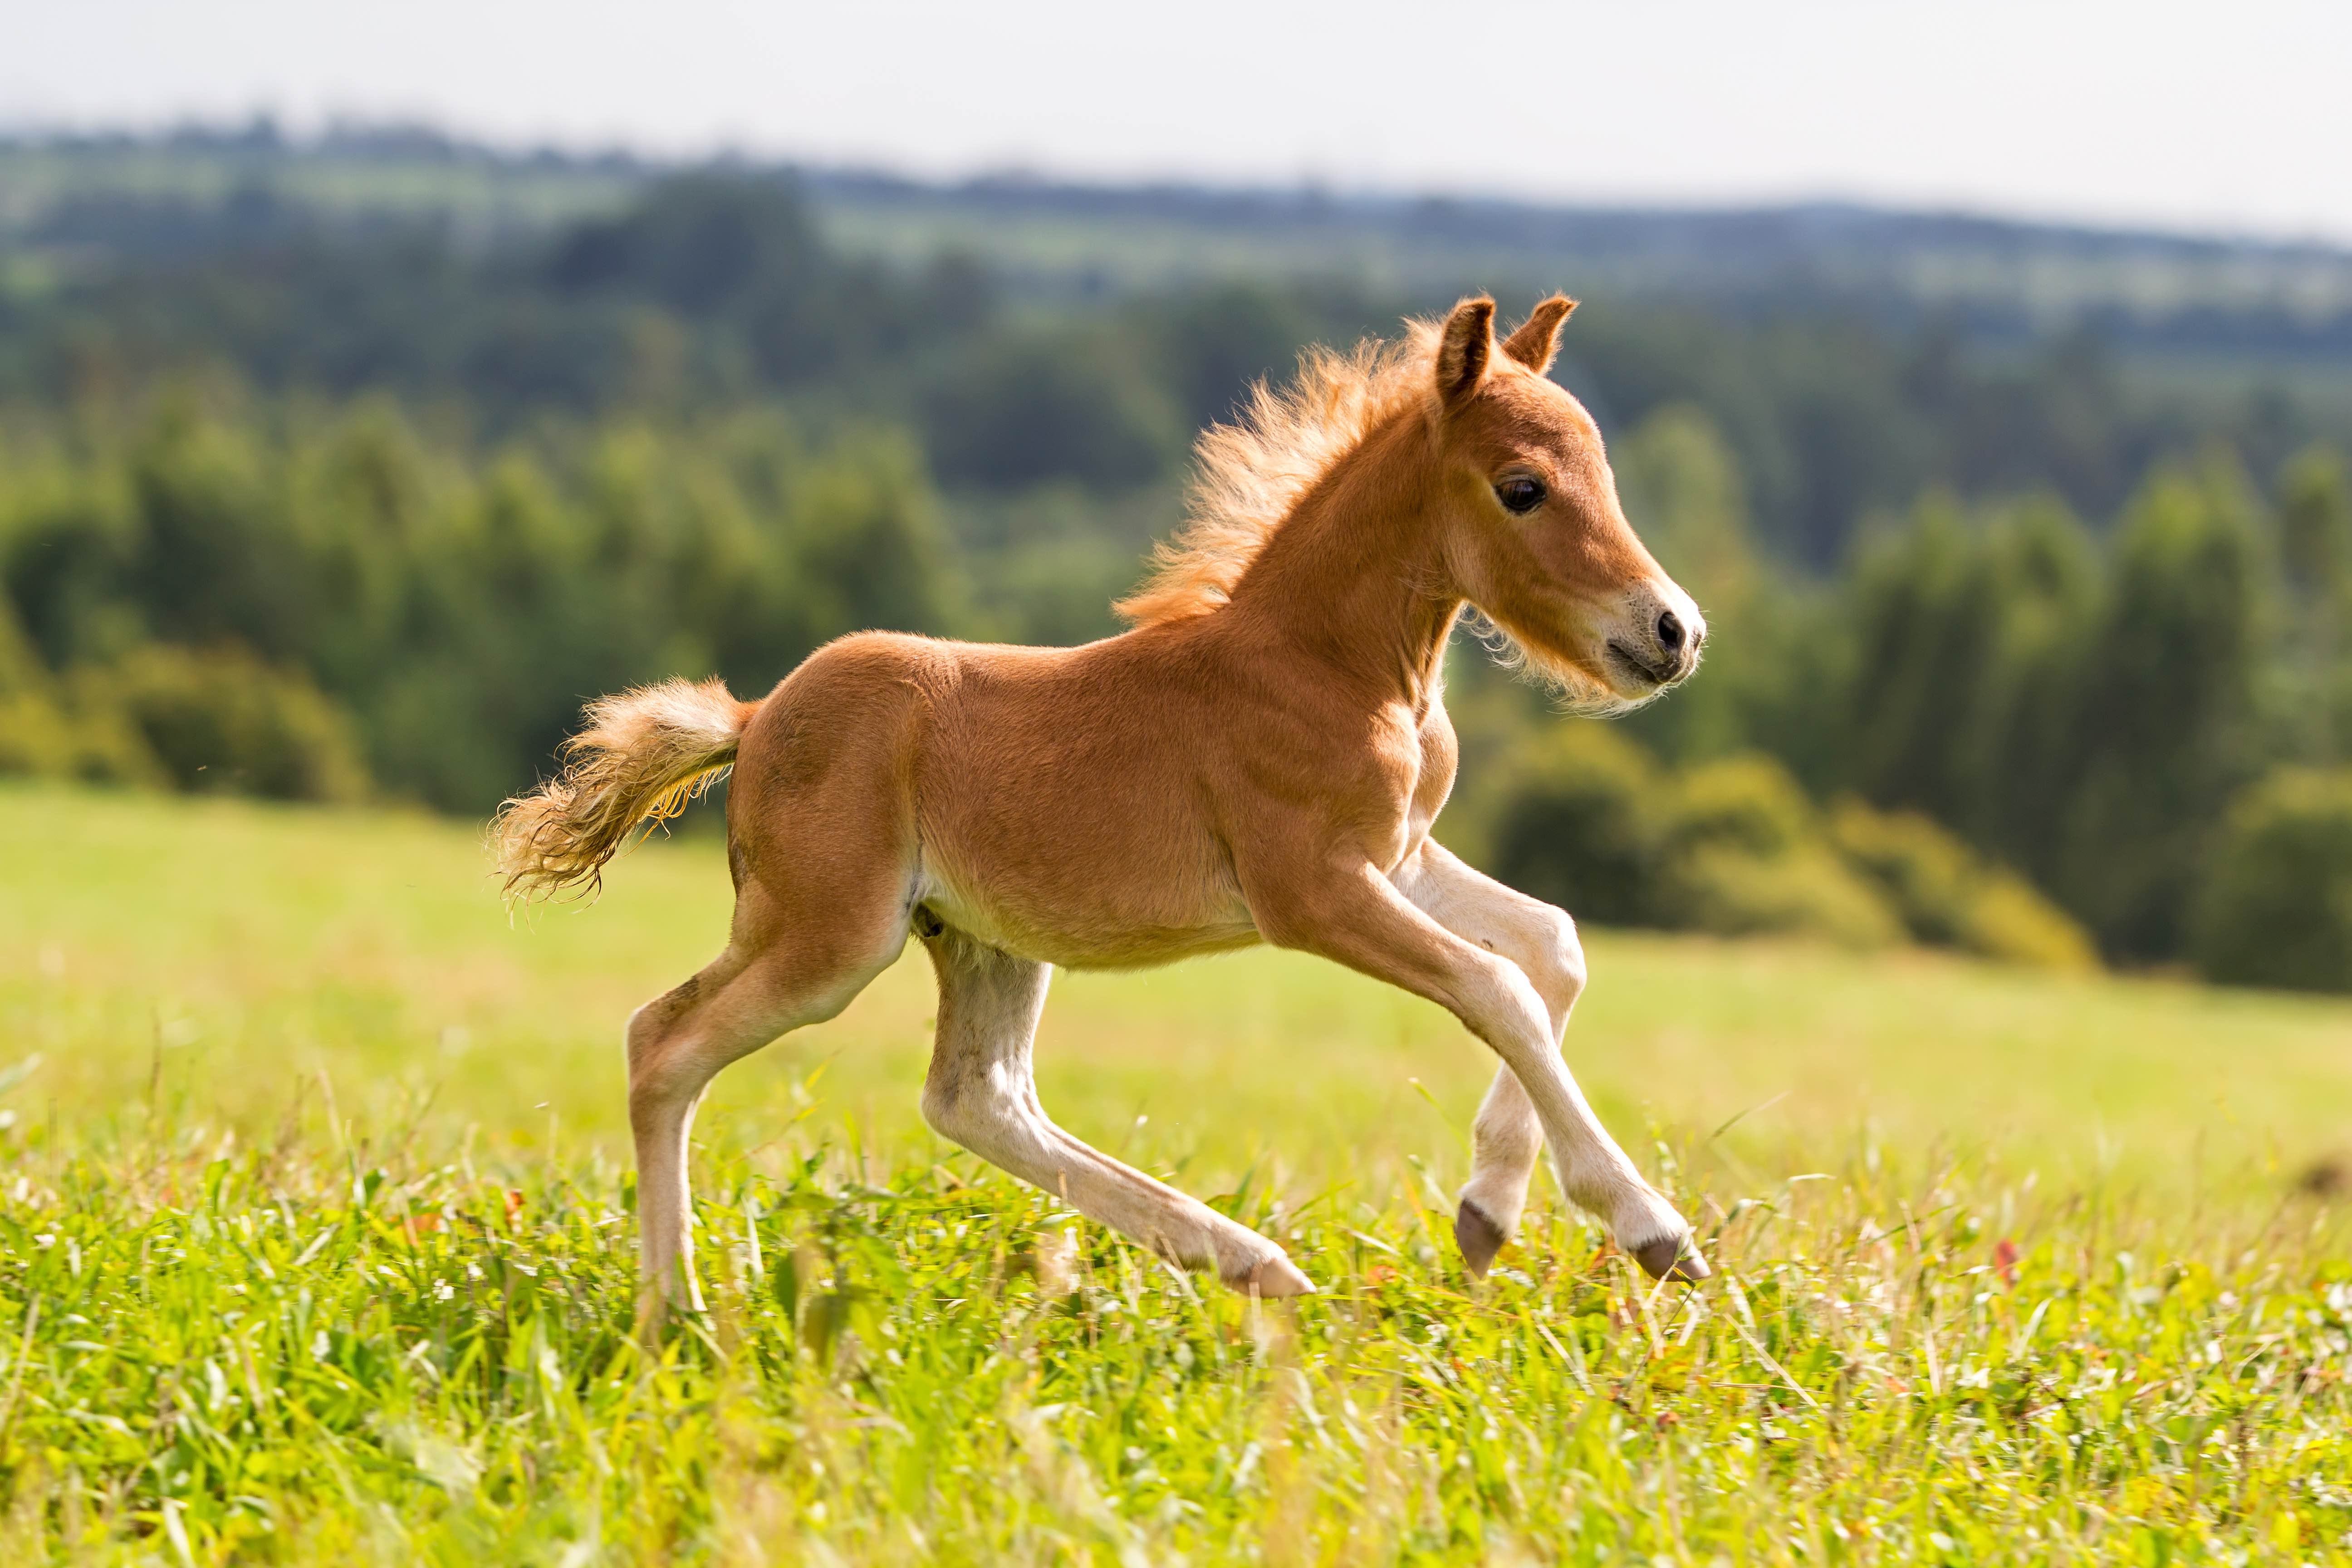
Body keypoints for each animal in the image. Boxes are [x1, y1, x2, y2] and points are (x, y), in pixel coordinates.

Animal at [496, 297, 1712, 1316]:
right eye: (1522, 486)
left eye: (1603, 473)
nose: (1672, 631)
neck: (1334, 665)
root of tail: (753, 720)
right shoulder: (1310, 889)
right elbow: (1497, 988)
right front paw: (1650, 1228)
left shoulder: (1399, 854)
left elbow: (1552, 946)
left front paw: (1485, 1210)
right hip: (831, 936)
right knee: (667, 1046)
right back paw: (677, 1315)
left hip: (975, 937)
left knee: (969, 1096)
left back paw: (1252, 1262)